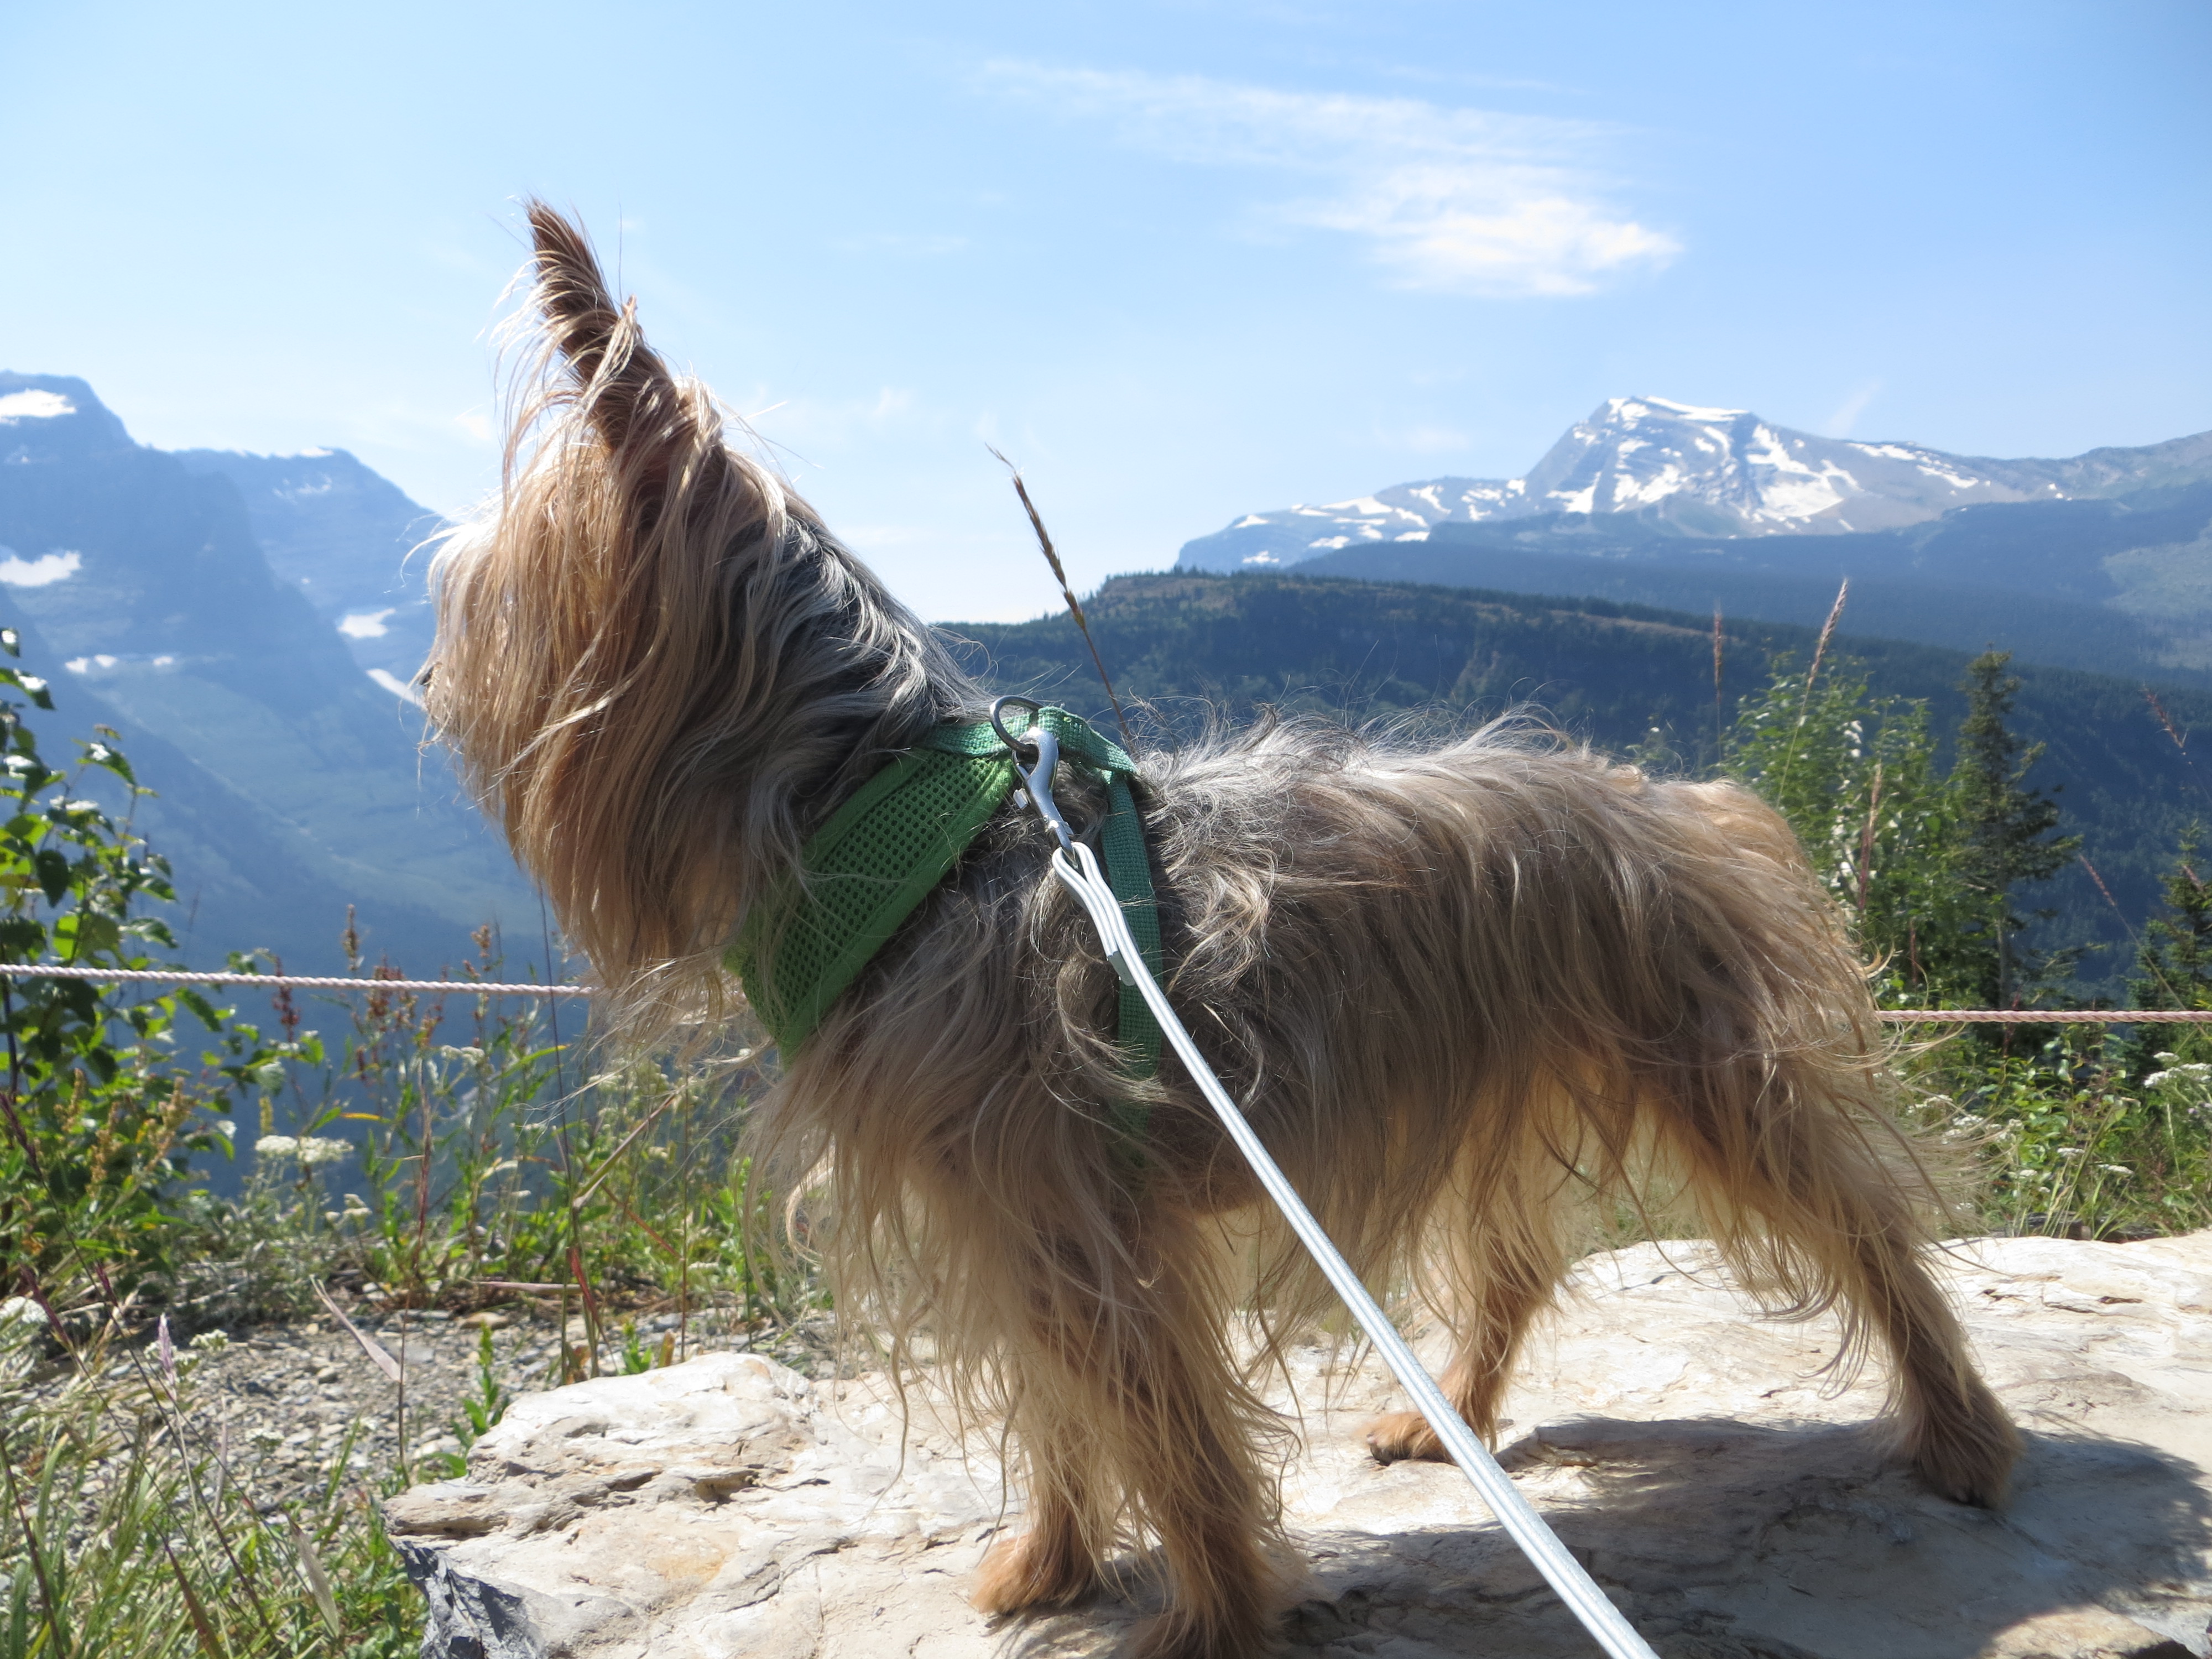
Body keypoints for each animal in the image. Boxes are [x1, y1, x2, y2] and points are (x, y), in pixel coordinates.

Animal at [426, 204, 2020, 1659]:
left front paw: (1211, 1617)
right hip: (1494, 1079)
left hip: (1699, 1062)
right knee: (1514, 1264)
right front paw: (1054, 1564)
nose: (434, 684)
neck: (902, 813)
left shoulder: (1073, 1220)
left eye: (486, 599)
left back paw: (1959, 1436)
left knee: (1862, 1220)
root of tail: (1671, 795)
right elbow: (1058, 1412)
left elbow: (1161, 1427)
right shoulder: (1009, 1219)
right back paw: (1446, 1420)